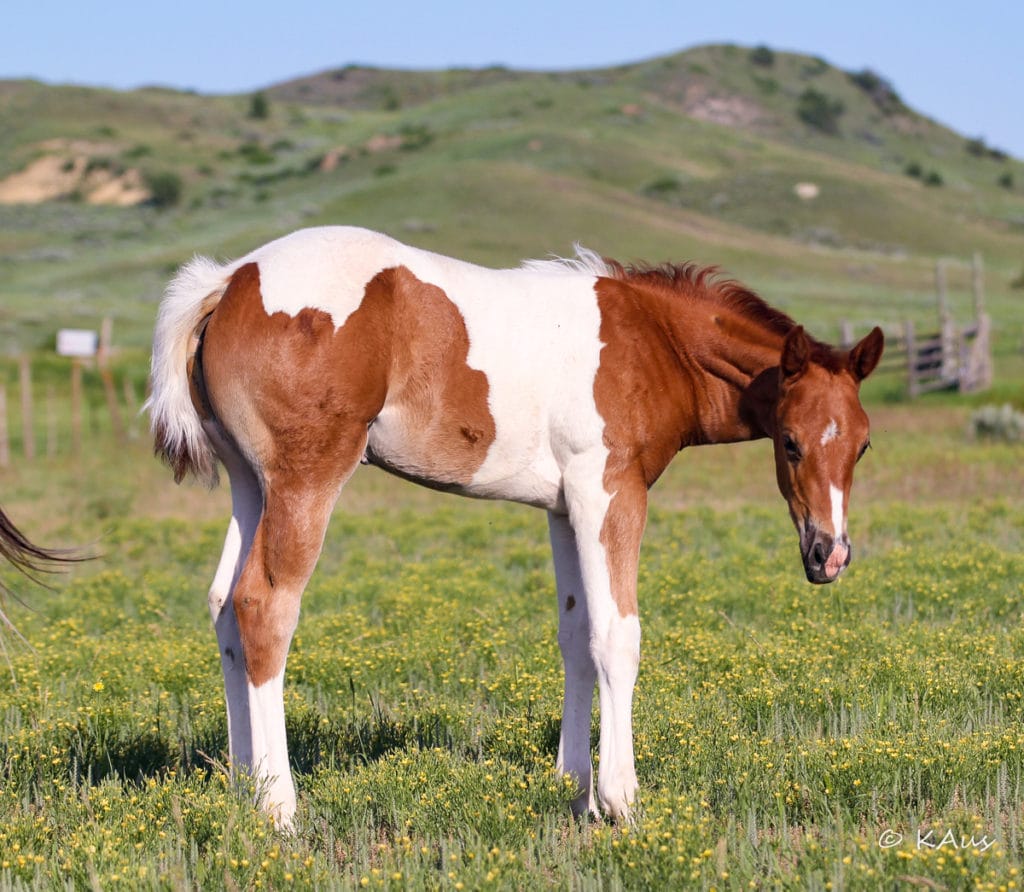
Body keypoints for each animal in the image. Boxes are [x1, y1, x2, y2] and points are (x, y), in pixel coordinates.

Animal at [148, 226, 884, 827]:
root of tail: (231, 279)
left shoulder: (564, 508)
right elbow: (618, 635)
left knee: (225, 606)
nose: (828, 554)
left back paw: (244, 789)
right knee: (265, 606)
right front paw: (620, 799)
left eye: (864, 445)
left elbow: (576, 635)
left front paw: (574, 790)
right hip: (307, 478)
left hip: (252, 484)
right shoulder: (609, 492)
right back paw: (280, 807)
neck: (656, 343)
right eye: (789, 442)